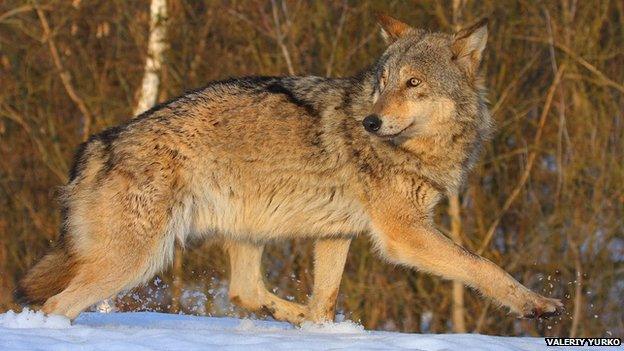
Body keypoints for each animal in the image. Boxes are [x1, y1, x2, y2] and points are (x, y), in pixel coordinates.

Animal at [17, 15, 564, 326]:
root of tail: (99, 142)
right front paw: (536, 304)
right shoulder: (404, 233)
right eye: (384, 83)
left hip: (245, 232)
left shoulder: (336, 234)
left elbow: (326, 297)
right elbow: (484, 267)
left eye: (413, 83)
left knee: (245, 291)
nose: (370, 121)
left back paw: (298, 319)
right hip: (138, 260)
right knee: (55, 306)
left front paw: (322, 328)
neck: (417, 149)